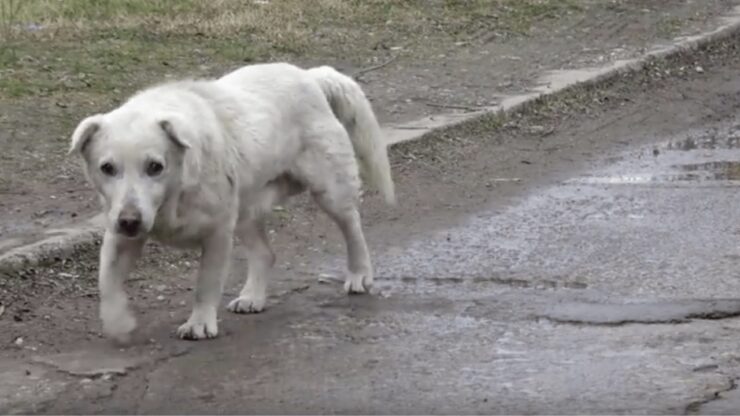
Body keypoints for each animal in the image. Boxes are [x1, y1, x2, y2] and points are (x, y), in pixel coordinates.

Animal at [69, 62, 396, 342]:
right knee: (265, 253)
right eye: (107, 168)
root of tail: (311, 76)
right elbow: (107, 282)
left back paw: (359, 274)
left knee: (353, 227)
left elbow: (206, 285)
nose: (130, 221)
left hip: (330, 192)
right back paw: (253, 297)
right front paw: (118, 323)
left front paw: (199, 324)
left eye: (155, 166)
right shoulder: (119, 234)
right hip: (246, 210)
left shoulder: (217, 234)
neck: (175, 194)